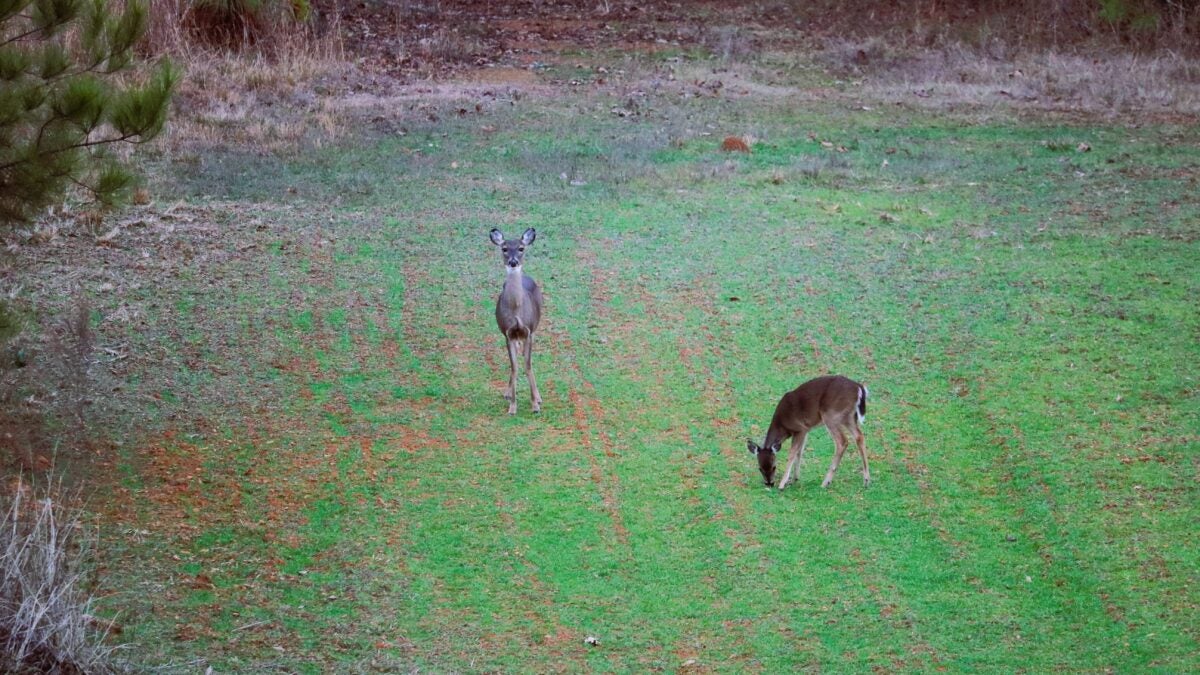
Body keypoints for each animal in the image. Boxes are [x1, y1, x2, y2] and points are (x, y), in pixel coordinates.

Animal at [487, 228, 544, 413]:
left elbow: (527, 365)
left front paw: (535, 404)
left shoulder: (529, 331)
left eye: (521, 248)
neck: (517, 310)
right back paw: (507, 393)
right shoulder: (508, 333)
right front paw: (512, 406)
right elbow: (514, 367)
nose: (513, 262)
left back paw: (538, 397)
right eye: (504, 248)